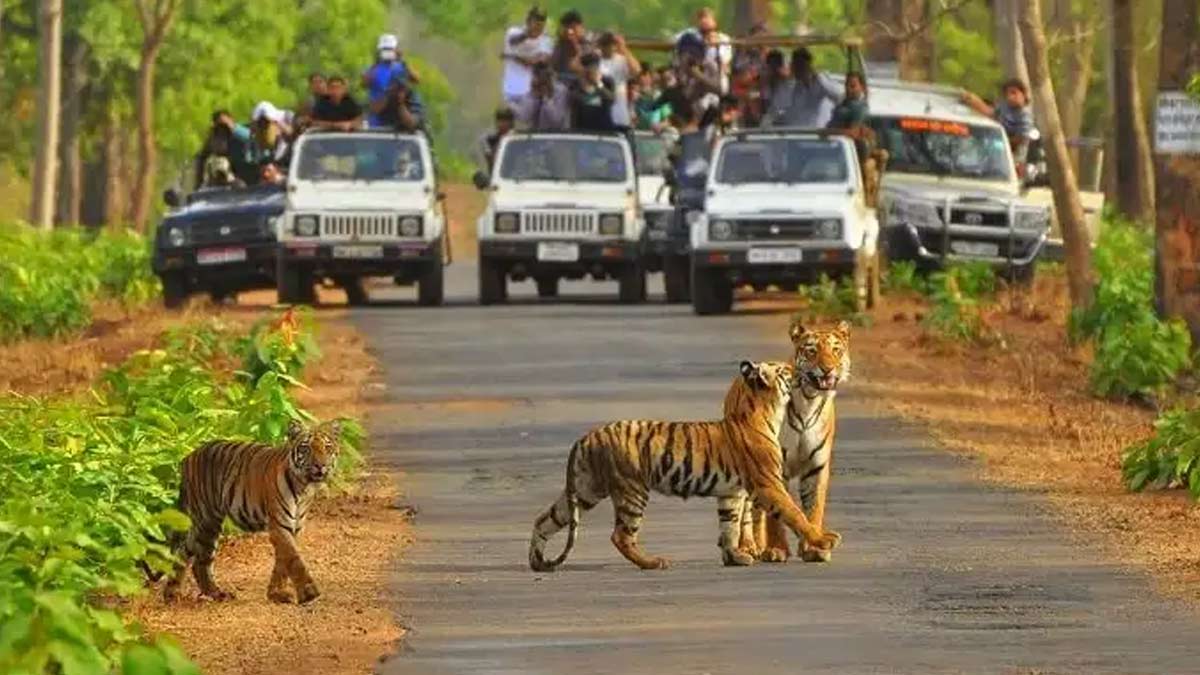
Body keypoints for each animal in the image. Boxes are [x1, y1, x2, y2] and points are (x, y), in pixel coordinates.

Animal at [160, 417, 343, 600]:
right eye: (306, 448)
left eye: (327, 447)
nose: (320, 465)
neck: (304, 487)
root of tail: (188, 457)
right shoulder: (279, 525)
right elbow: (293, 559)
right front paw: (309, 593)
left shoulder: (294, 527)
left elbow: (282, 561)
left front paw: (277, 593)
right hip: (205, 521)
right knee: (196, 558)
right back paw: (193, 593)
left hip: (205, 524)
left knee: (189, 554)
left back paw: (186, 592)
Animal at [530, 357, 840, 566]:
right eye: (785, 370)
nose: (801, 370)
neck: (765, 411)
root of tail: (586, 437)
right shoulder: (769, 484)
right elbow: (795, 514)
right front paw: (824, 540)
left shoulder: (731, 493)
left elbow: (729, 525)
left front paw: (734, 556)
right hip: (632, 491)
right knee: (621, 536)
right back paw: (653, 562)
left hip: (585, 489)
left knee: (545, 519)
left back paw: (537, 561)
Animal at [748, 317, 854, 559]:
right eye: (812, 351)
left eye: (836, 350)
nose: (827, 369)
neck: (809, 400)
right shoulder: (775, 467)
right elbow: (776, 513)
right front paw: (776, 549)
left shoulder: (817, 465)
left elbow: (813, 508)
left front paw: (814, 547)